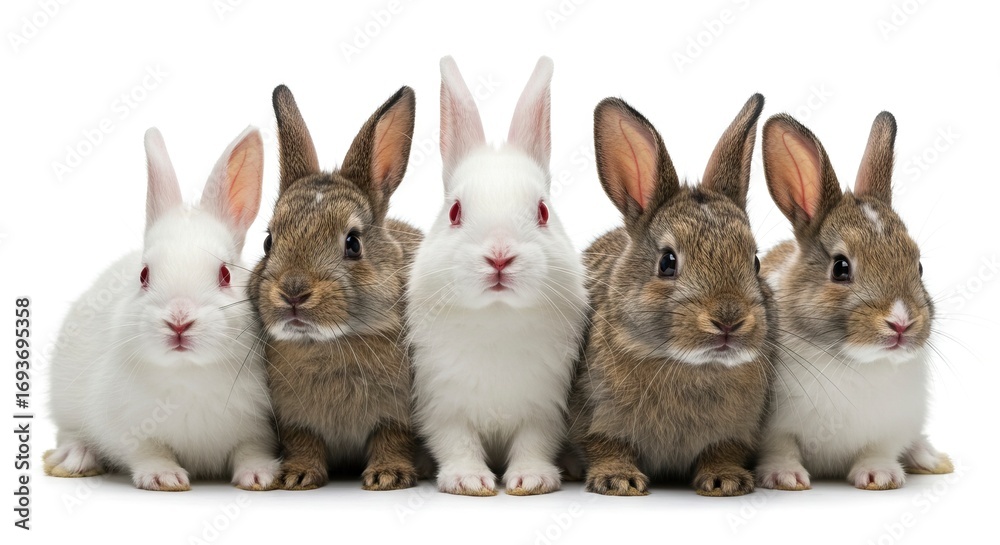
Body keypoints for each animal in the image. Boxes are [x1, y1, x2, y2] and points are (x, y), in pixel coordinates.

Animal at [44, 126, 279, 491]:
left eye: (225, 274)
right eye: (144, 275)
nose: (179, 321)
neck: (189, 374)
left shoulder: (257, 430)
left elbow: (250, 450)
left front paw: (259, 476)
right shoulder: (128, 429)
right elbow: (148, 451)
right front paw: (163, 477)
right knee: (68, 432)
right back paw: (75, 458)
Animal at [248, 84, 422, 491]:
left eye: (353, 243)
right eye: (268, 242)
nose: (293, 292)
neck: (329, 342)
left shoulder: (399, 414)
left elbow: (392, 438)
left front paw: (388, 476)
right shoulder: (294, 420)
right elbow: (304, 442)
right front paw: (296, 476)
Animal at [406, 56, 588, 497]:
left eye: (543, 211)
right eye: (455, 212)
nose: (500, 256)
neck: (497, 317)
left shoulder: (543, 410)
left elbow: (533, 443)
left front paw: (532, 479)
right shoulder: (443, 407)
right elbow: (457, 443)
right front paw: (469, 481)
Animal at [567, 94, 775, 497]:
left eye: (755, 261)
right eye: (667, 262)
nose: (729, 320)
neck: (691, 365)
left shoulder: (738, 428)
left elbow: (723, 450)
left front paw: (725, 480)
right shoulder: (595, 414)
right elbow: (604, 445)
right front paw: (618, 480)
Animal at [755, 111, 953, 491]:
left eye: (918, 266)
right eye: (841, 268)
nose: (901, 323)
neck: (853, 361)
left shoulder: (893, 425)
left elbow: (878, 450)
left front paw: (879, 476)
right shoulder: (775, 429)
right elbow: (780, 448)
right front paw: (785, 477)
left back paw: (929, 458)